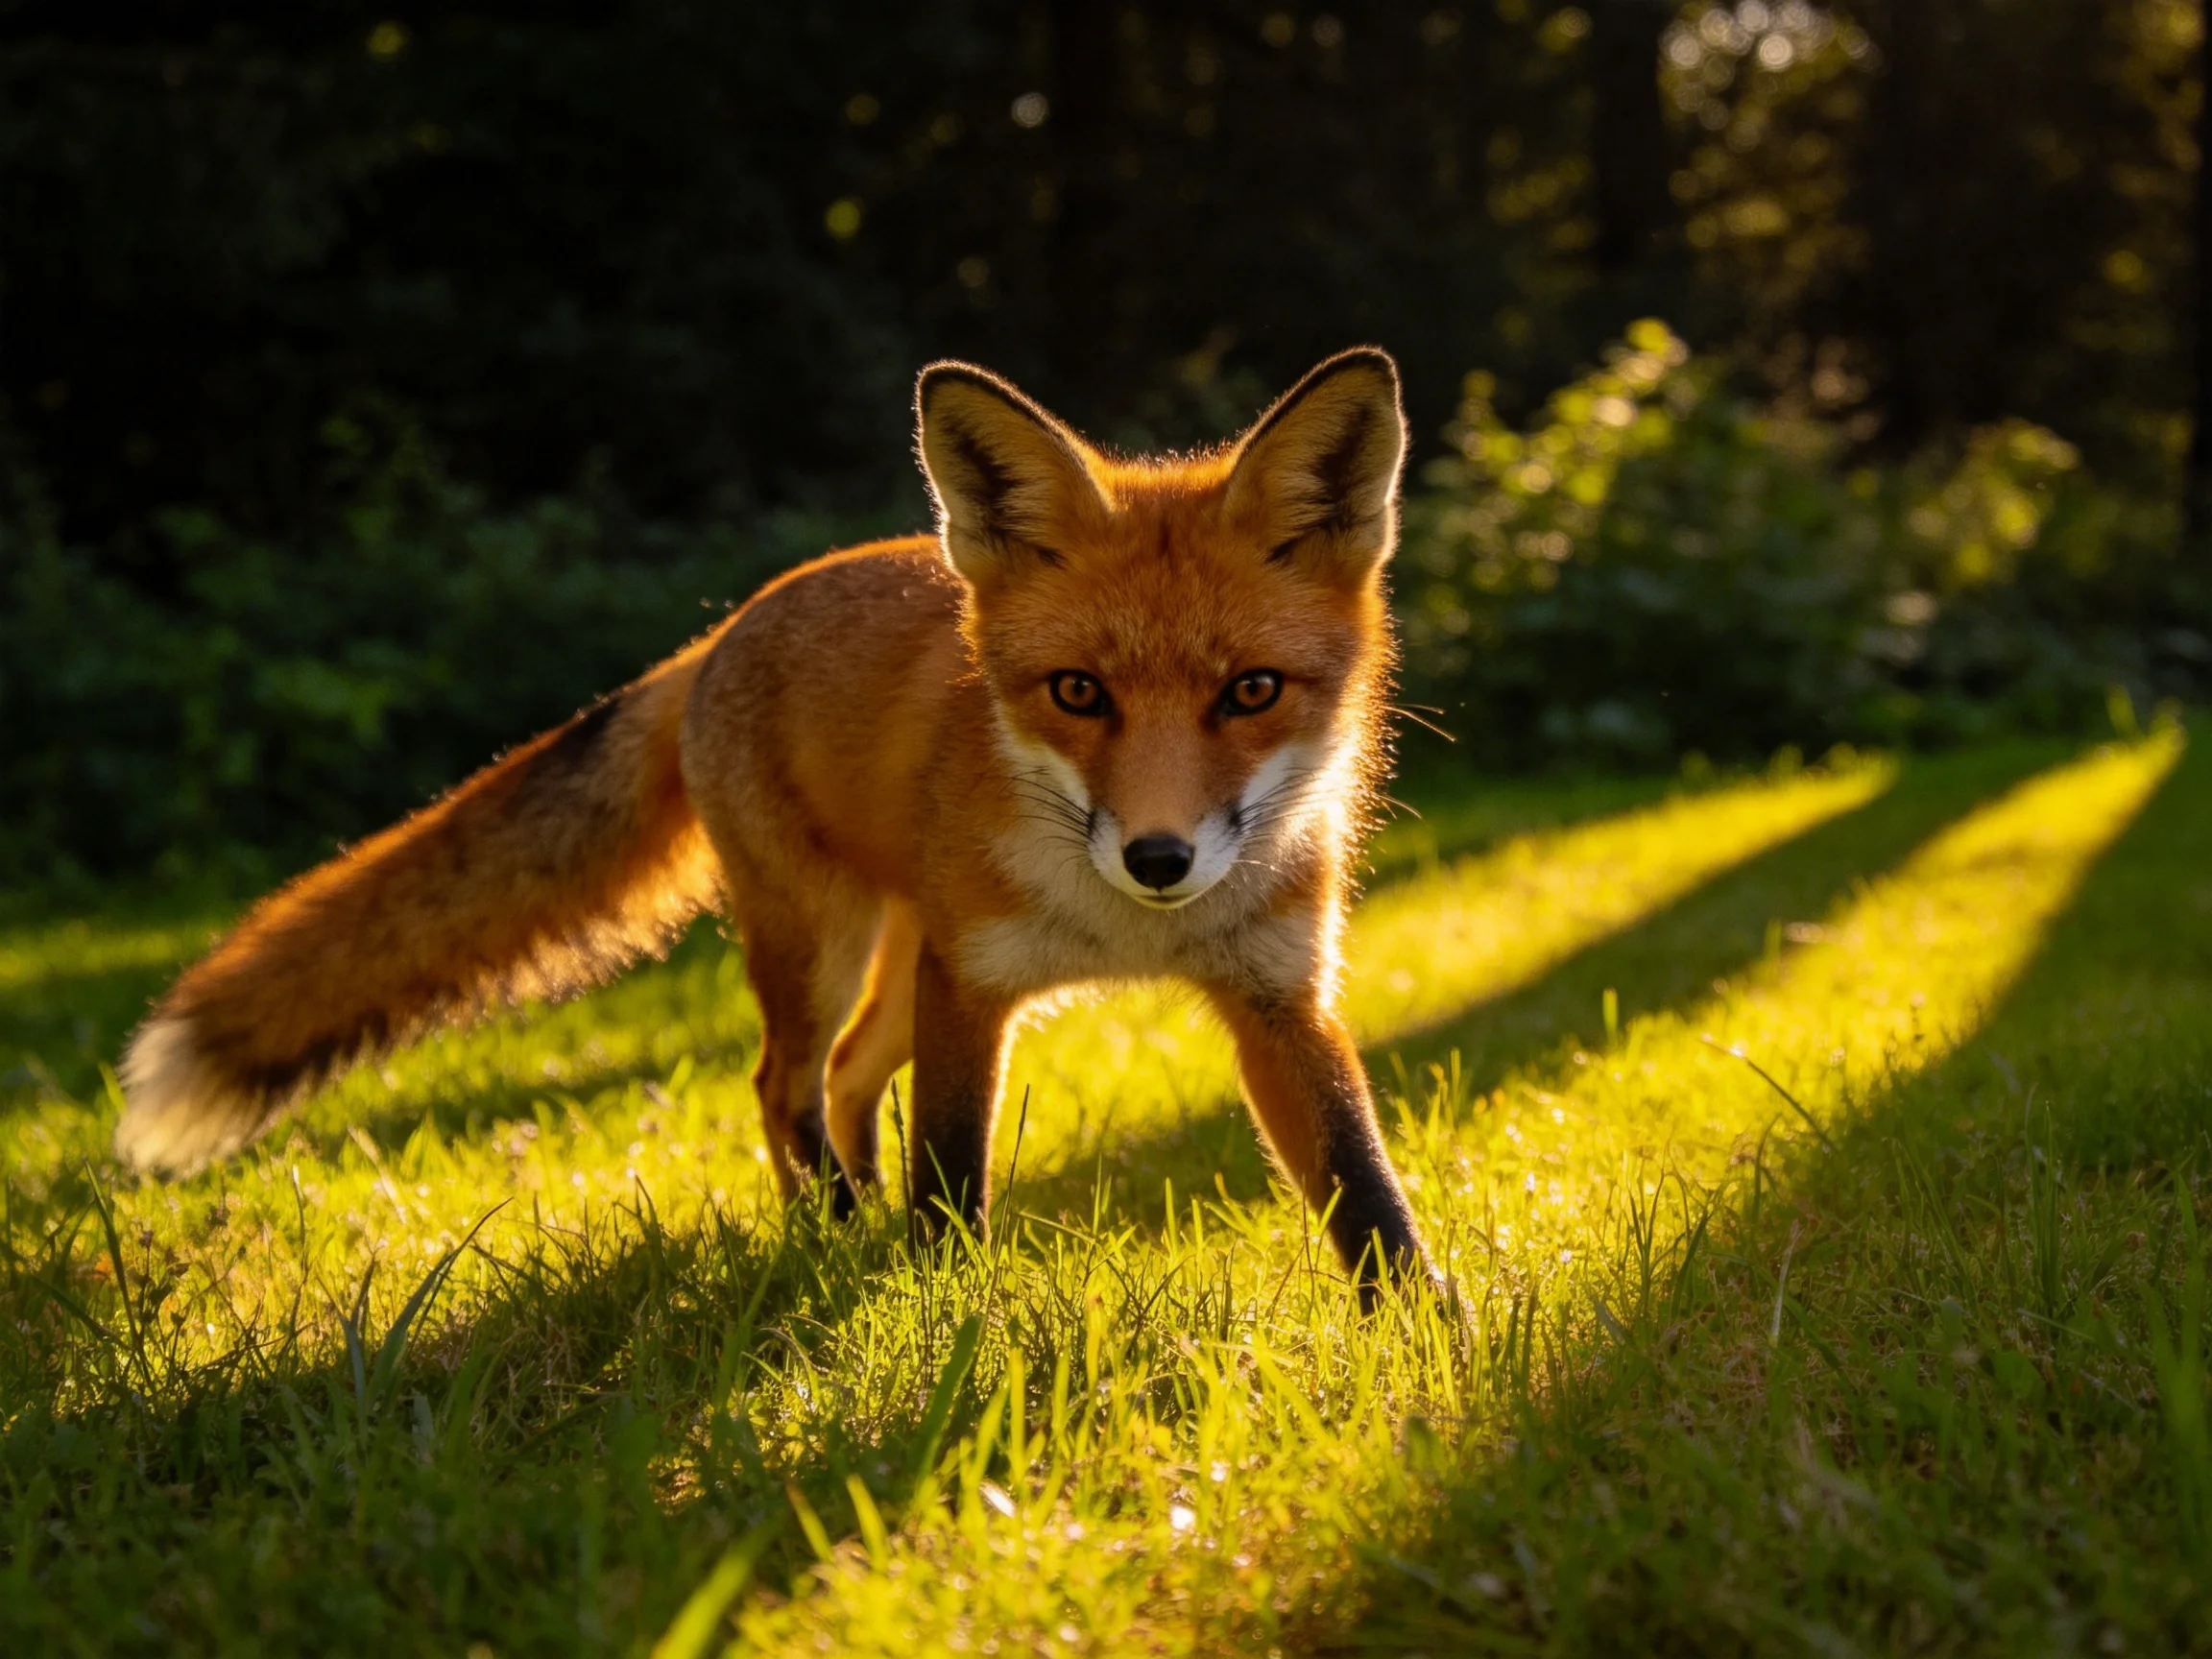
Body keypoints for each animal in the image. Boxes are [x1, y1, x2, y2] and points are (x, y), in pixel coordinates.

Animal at [115, 348, 1436, 1296]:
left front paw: (1426, 1347)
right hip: (828, 947)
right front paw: (945, 1318)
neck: (1132, 932)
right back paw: (834, 1233)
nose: (1158, 859)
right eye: (1078, 693)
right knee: (780, 1084)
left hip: (898, 971)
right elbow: (950, 1181)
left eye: (1251, 692)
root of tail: (723, 632)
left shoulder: (1277, 996)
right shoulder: (976, 989)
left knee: (844, 1081)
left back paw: (849, 1220)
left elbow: (1368, 1196)